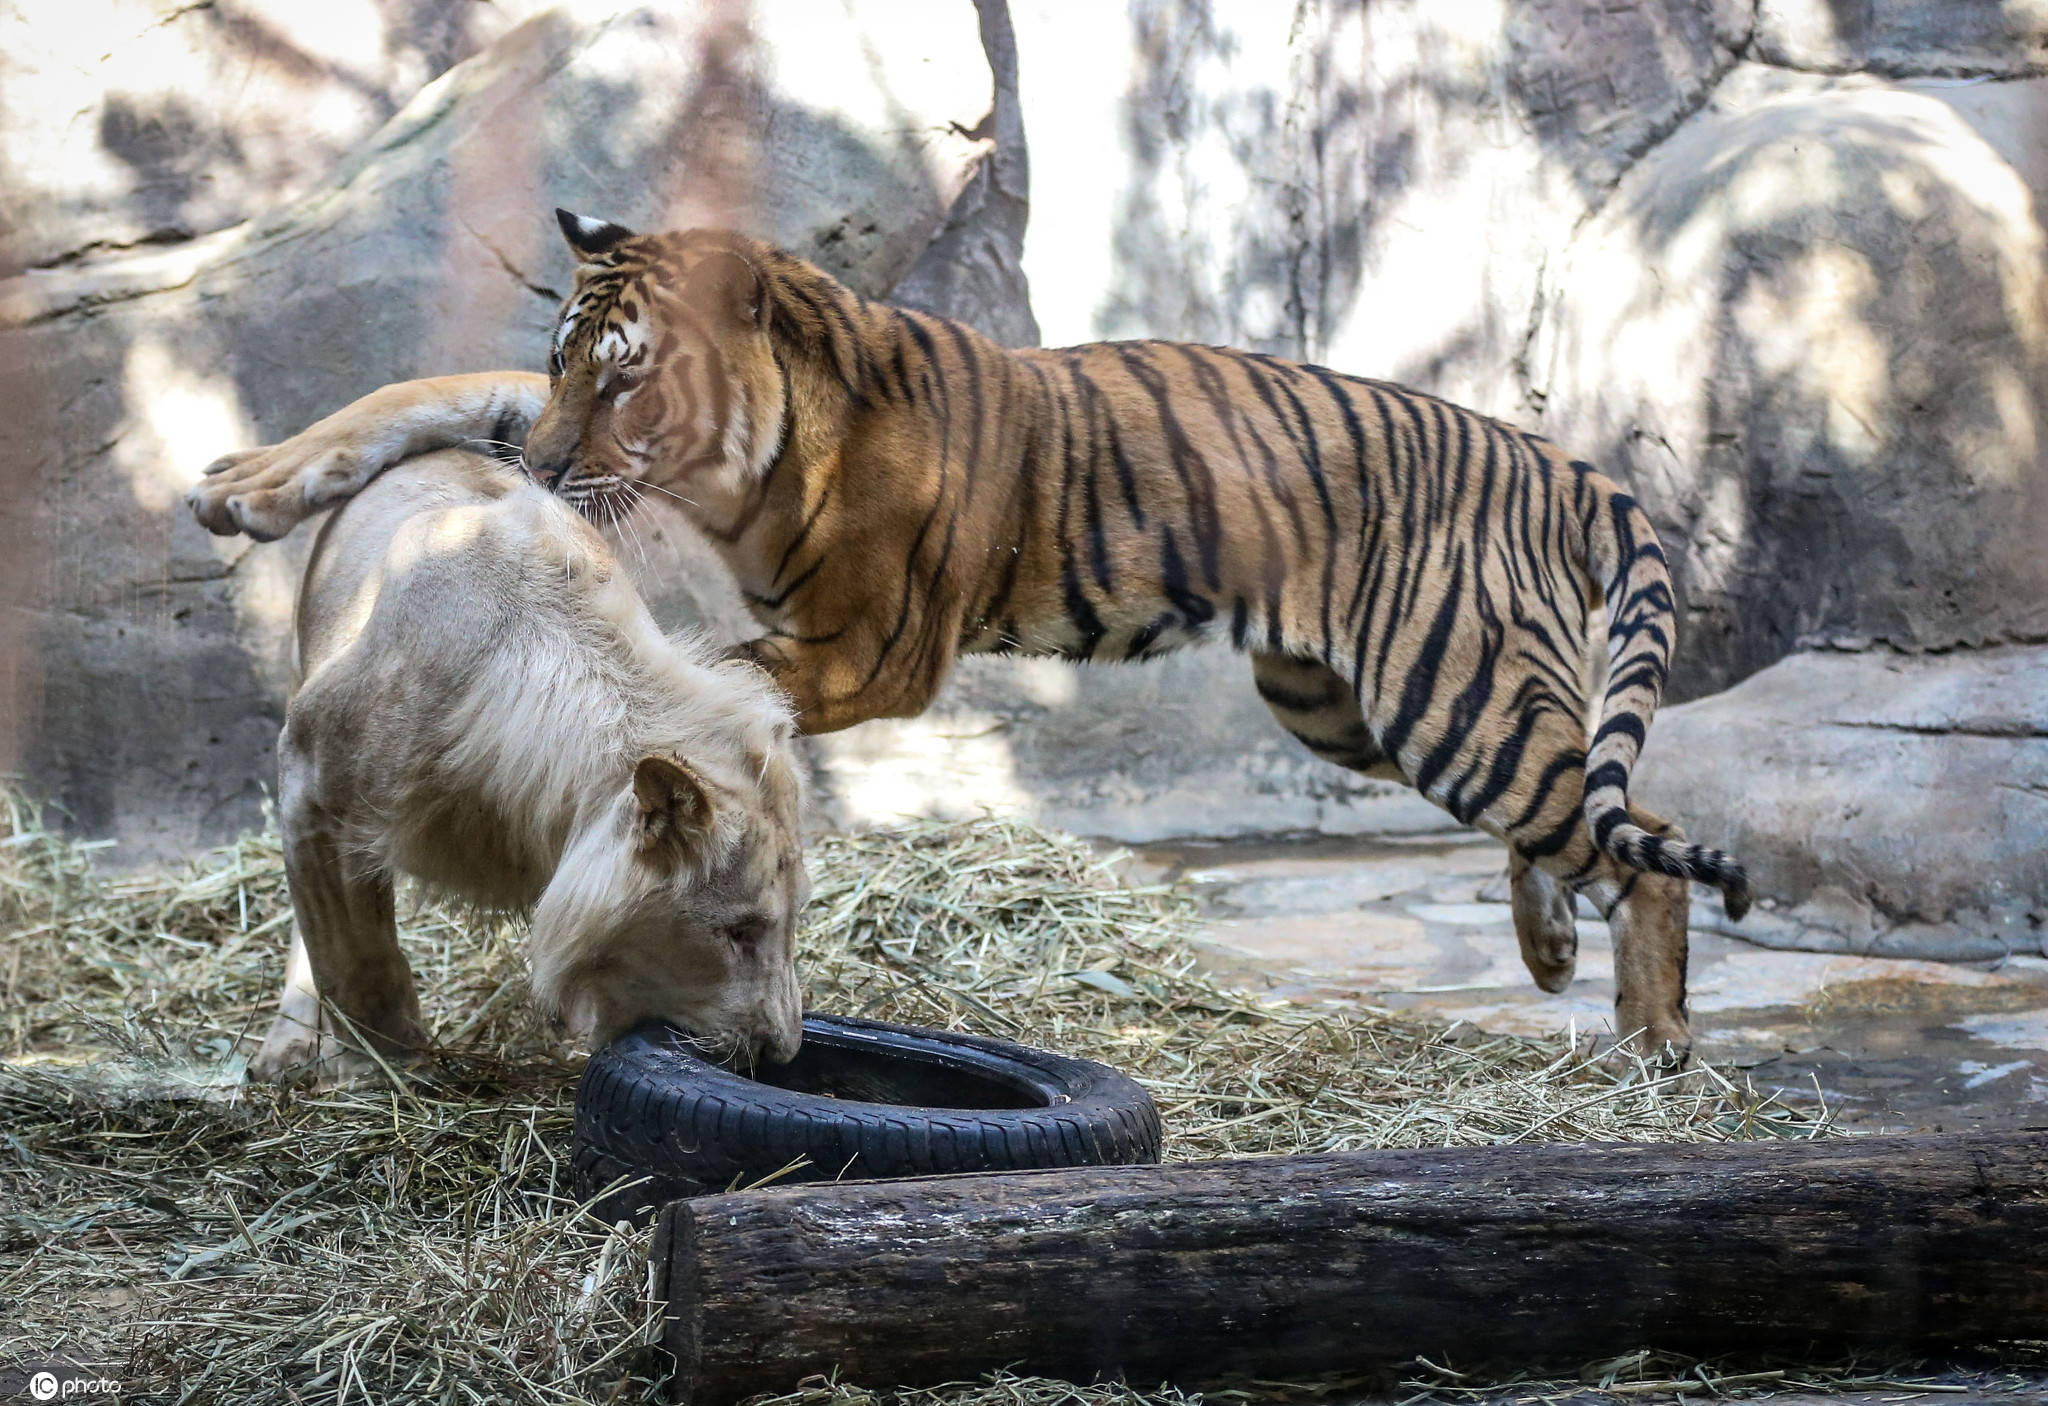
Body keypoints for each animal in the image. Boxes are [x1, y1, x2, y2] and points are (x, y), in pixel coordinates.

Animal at [192, 208, 1753, 1064]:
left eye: (628, 378)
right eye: (570, 361)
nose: (547, 466)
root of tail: (1550, 456)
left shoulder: (856, 650)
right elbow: (423, 391)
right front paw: (240, 487)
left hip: (1448, 699)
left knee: (1638, 846)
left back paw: (1657, 1038)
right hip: (1340, 704)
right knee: (1584, 823)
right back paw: (1547, 950)